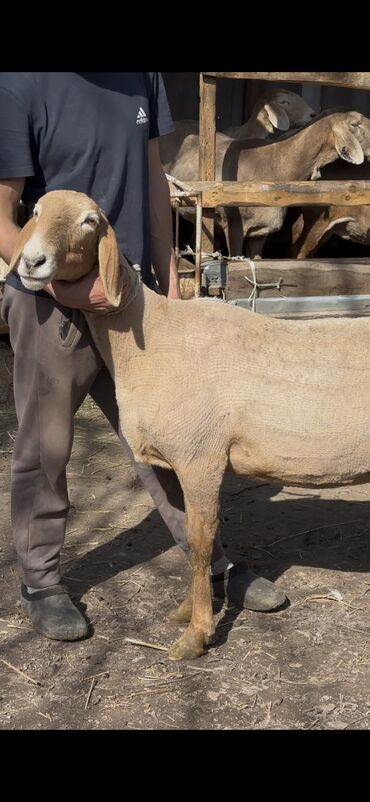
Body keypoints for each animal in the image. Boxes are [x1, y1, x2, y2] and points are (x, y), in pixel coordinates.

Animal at [8, 186, 370, 656]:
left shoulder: (201, 457)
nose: (33, 262)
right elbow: (188, 535)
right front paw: (186, 612)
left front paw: (196, 634)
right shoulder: (183, 459)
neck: (152, 337)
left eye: (90, 221)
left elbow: (199, 543)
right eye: (34, 211)